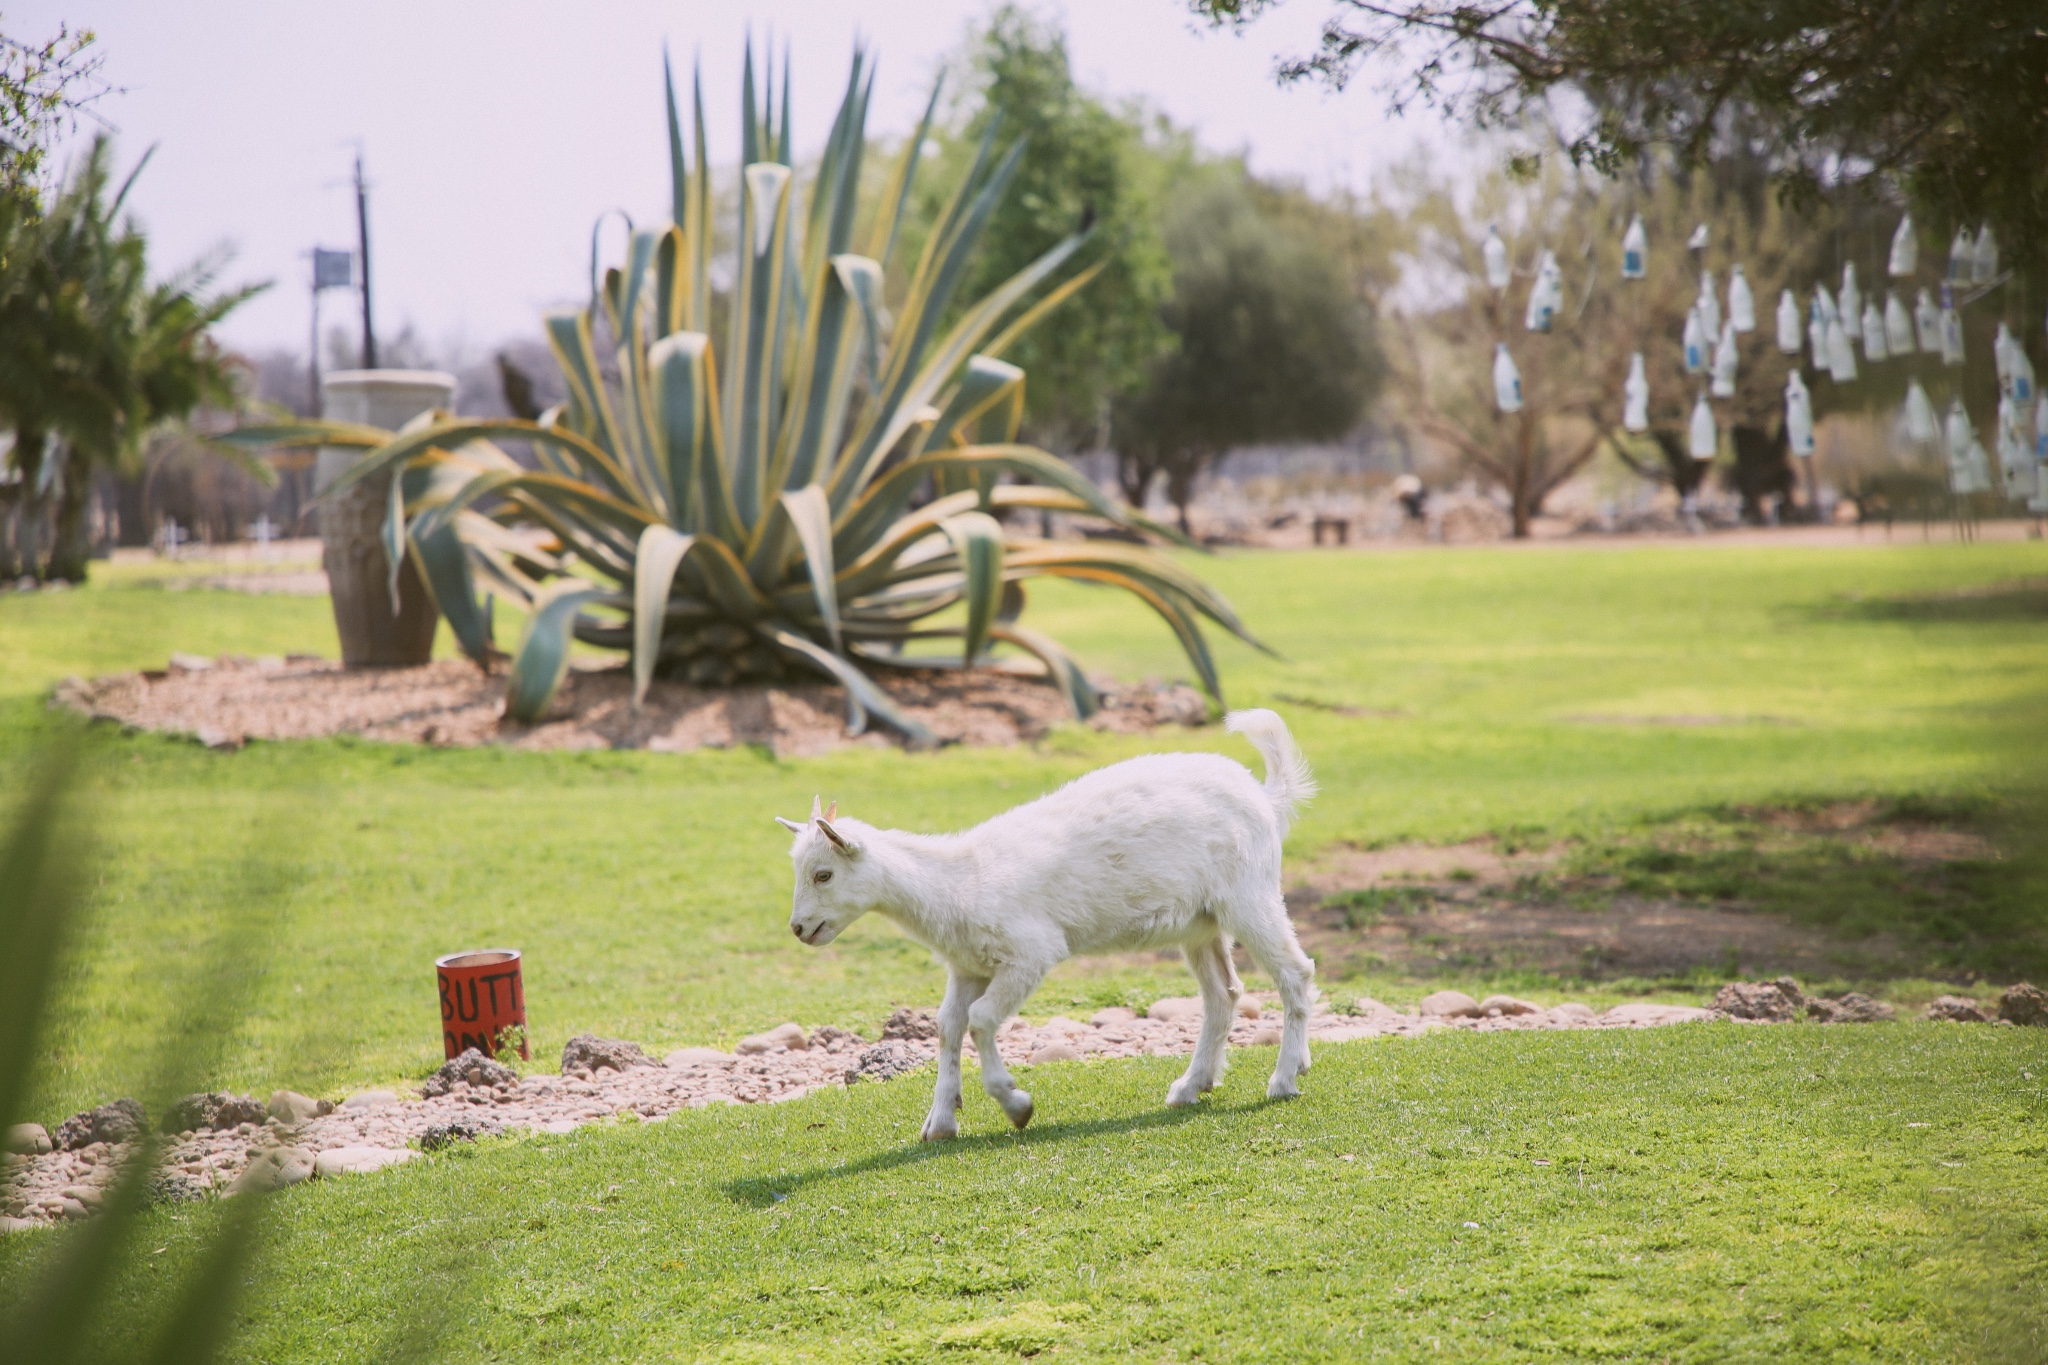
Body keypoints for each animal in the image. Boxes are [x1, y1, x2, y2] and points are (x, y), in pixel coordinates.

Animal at [774, 712, 1318, 1146]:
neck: (961, 878)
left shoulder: (1031, 953)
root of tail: (1266, 797)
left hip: (1250, 893)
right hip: (1199, 923)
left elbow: (981, 1019)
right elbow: (949, 1025)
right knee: (1223, 993)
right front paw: (941, 1122)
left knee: (1296, 972)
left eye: (823, 874)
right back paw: (1191, 1087)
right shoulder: (968, 964)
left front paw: (1017, 1105)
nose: (799, 928)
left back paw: (1284, 1079)